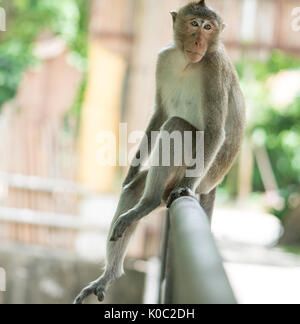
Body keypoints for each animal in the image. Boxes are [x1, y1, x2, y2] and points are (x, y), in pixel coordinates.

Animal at [74, 0, 245, 304]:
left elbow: (214, 131)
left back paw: (150, 202)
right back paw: (111, 273)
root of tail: (214, 183)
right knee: (134, 187)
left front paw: (185, 188)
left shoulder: (214, 69)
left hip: (202, 171)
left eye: (208, 27)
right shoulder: (164, 59)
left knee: (177, 126)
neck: (188, 62)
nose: (199, 41)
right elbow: (160, 112)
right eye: (194, 23)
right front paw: (131, 167)